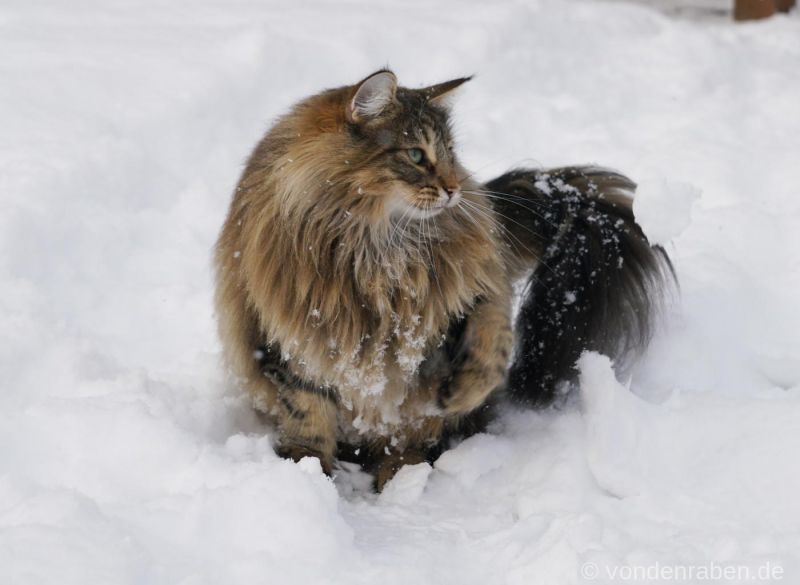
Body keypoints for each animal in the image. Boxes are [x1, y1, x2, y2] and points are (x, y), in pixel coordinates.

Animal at [214, 69, 676, 488]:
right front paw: (306, 469)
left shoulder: (464, 298)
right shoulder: (293, 332)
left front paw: (456, 395)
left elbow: (490, 346)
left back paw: (403, 473)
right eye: (416, 155)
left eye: (451, 153)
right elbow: (307, 410)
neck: (378, 248)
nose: (454, 189)